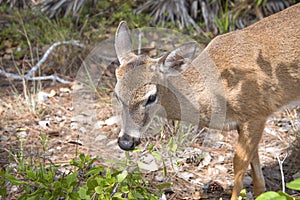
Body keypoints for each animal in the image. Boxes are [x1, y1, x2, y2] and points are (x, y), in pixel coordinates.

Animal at [113, 3, 300, 200]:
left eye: (151, 97)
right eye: (117, 95)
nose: (126, 142)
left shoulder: (256, 113)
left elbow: (239, 163)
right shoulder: (245, 122)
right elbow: (257, 177)